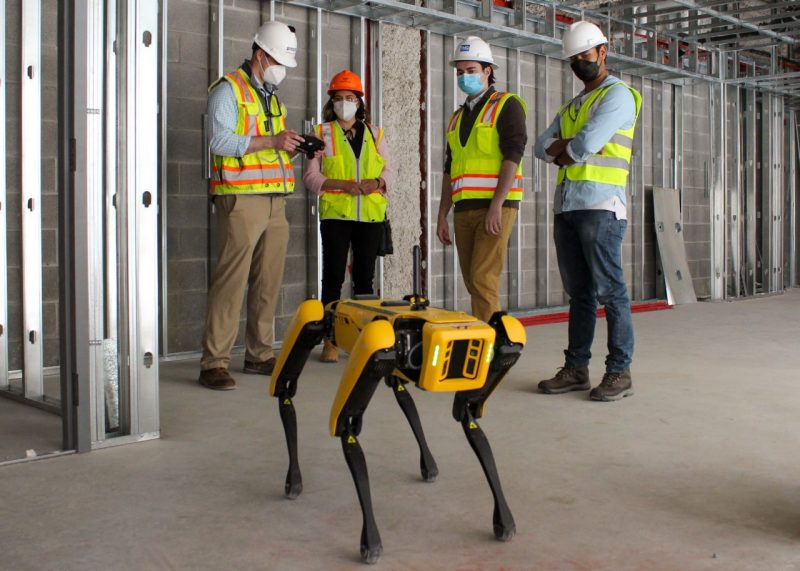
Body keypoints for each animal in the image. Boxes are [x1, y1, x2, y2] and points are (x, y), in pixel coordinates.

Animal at [268, 248, 524, 564]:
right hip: (321, 322)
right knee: (289, 375)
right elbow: (346, 425)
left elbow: (467, 416)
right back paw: (294, 476)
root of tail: (337, 303)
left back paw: (428, 461)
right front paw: (371, 538)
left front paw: (504, 517)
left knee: (402, 393)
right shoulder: (378, 344)